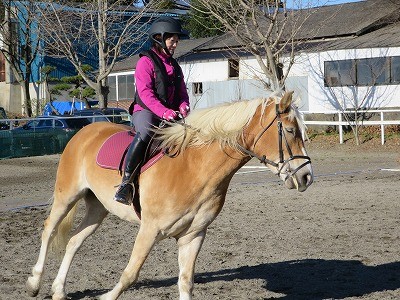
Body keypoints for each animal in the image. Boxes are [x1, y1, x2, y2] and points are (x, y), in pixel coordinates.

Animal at [26, 91, 314, 300]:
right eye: (290, 131)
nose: (306, 177)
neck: (195, 168)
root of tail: (84, 131)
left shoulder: (193, 236)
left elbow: (186, 282)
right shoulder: (149, 230)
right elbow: (130, 273)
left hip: (98, 207)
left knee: (74, 241)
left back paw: (59, 290)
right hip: (67, 196)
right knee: (49, 230)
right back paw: (34, 283)